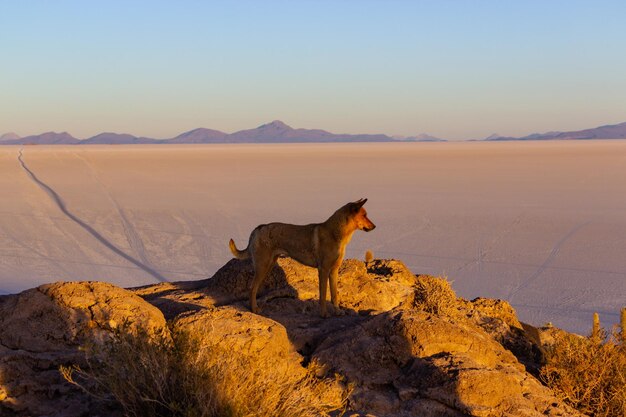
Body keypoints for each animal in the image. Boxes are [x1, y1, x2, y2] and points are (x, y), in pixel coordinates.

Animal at [229, 198, 376, 316]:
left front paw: (338, 311)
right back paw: (254, 309)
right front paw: (323, 314)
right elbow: (323, 295)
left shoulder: (334, 270)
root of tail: (258, 229)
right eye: (364, 215)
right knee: (252, 289)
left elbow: (334, 295)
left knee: (254, 288)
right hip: (263, 266)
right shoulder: (323, 270)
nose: (374, 226)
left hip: (268, 265)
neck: (337, 234)